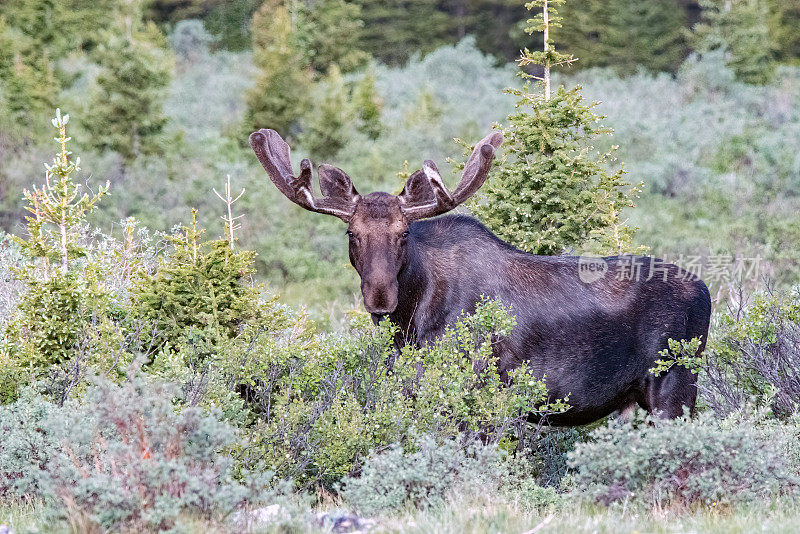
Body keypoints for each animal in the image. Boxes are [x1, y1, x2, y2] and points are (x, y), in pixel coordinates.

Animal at [250, 127, 712, 426]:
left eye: (403, 234)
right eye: (352, 233)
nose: (380, 296)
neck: (412, 319)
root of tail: (707, 292)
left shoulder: (476, 384)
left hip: (674, 387)